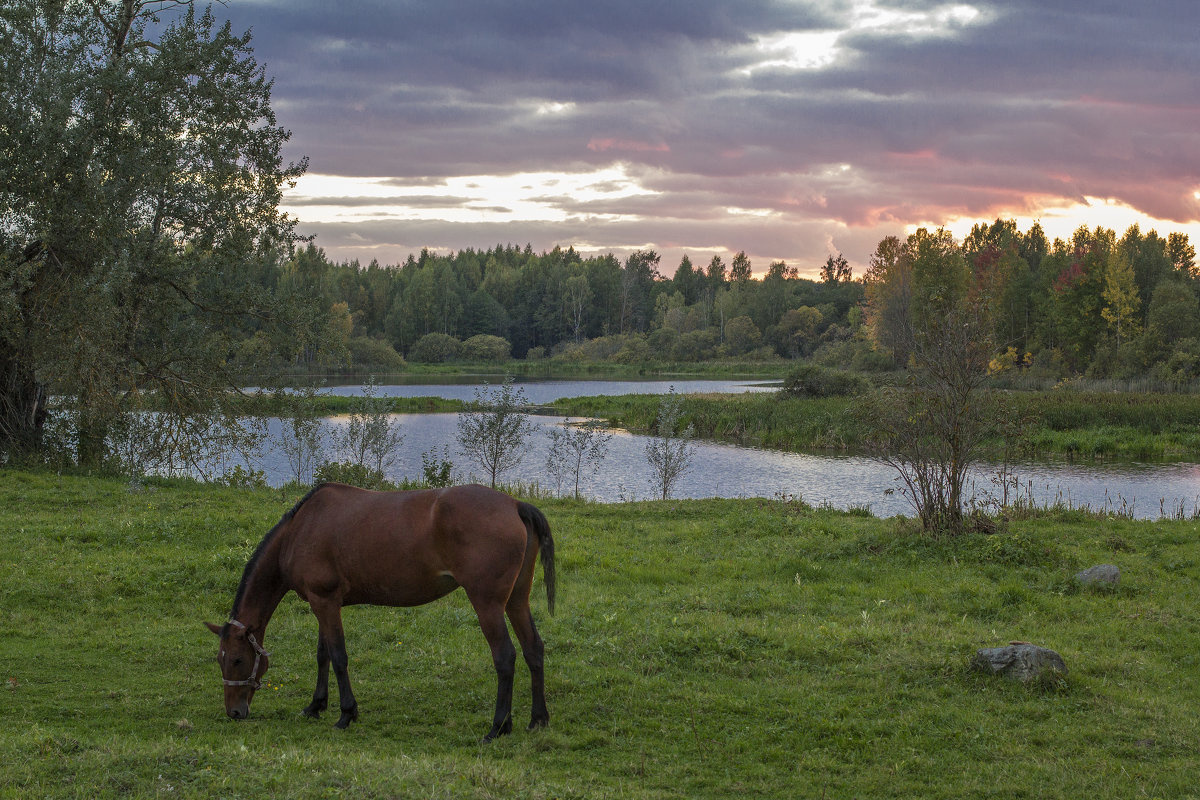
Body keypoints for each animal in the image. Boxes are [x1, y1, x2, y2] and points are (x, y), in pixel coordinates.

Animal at [206, 482, 556, 738]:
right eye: (220, 660)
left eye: (237, 660)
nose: (234, 712)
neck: (300, 530)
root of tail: (515, 505)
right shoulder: (323, 603)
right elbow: (322, 655)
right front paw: (315, 706)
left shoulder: (325, 602)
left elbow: (338, 657)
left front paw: (346, 714)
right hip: (516, 600)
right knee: (533, 649)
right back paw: (538, 719)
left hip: (488, 604)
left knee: (505, 657)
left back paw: (498, 727)